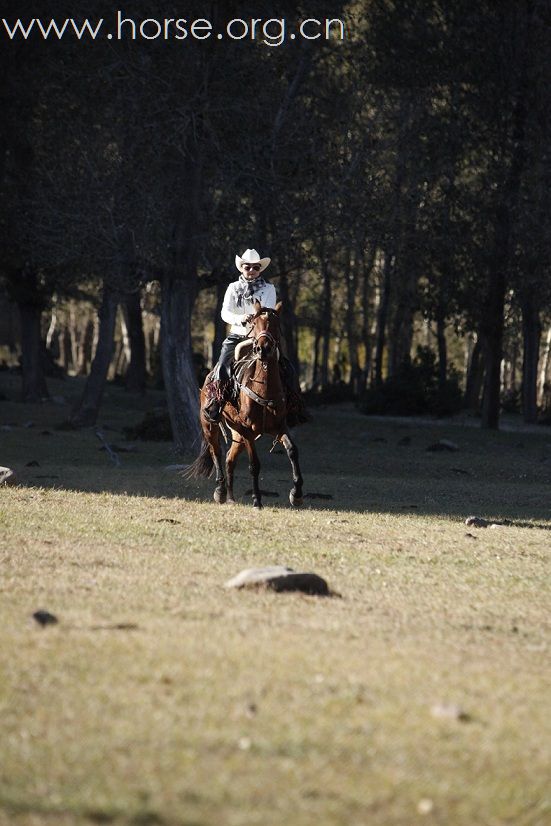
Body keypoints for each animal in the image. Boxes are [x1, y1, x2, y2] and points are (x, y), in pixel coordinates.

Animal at [188, 300, 304, 508]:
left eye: (276, 324)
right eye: (255, 322)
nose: (263, 349)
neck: (264, 387)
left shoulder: (279, 426)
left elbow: (292, 451)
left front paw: (296, 494)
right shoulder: (249, 430)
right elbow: (254, 464)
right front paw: (257, 500)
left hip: (238, 433)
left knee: (229, 459)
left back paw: (231, 498)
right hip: (210, 426)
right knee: (217, 453)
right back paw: (220, 491)